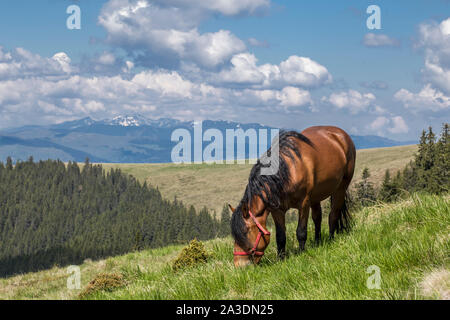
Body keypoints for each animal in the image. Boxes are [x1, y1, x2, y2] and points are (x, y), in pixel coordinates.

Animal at [232, 126, 356, 266]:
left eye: (245, 232)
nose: (239, 266)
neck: (288, 172)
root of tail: (340, 134)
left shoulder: (304, 204)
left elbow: (301, 231)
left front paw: (302, 253)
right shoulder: (277, 210)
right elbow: (280, 236)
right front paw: (281, 258)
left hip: (340, 189)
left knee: (333, 215)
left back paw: (330, 239)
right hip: (316, 197)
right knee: (317, 218)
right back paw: (318, 242)